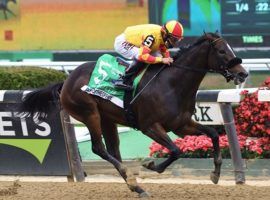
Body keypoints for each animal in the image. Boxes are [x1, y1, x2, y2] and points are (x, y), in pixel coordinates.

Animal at [19, 32, 247, 197]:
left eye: (231, 49)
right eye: (221, 51)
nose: (243, 73)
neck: (172, 84)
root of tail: (66, 81)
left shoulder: (181, 124)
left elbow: (214, 135)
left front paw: (215, 174)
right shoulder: (150, 126)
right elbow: (175, 151)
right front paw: (151, 164)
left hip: (108, 119)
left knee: (113, 150)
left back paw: (134, 185)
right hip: (89, 113)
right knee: (98, 148)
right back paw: (133, 181)